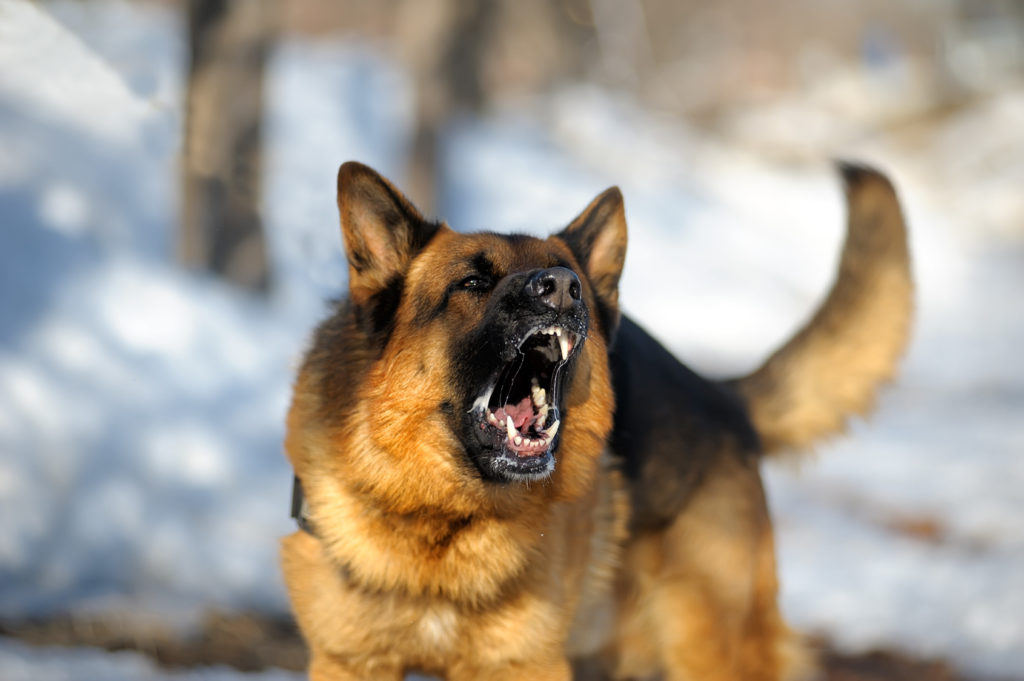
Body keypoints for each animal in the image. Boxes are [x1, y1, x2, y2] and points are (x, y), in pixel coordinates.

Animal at [282, 161, 913, 675]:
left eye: (570, 278)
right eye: (473, 282)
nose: (563, 289)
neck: (444, 521)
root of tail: (717, 396)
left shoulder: (525, 666)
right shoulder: (349, 662)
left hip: (709, 648)